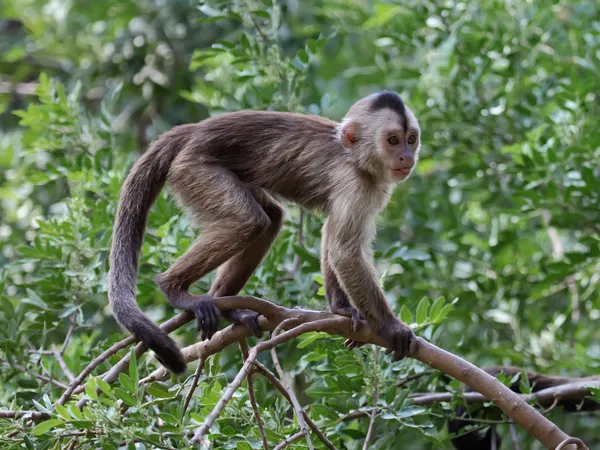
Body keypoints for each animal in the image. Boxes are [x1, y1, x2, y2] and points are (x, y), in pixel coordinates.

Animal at [110, 90, 424, 372]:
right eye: (392, 140)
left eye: (411, 139)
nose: (406, 156)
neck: (356, 158)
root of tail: (193, 130)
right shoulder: (356, 183)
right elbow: (345, 252)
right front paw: (390, 327)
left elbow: (333, 237)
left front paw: (342, 309)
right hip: (193, 169)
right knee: (248, 221)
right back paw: (173, 288)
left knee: (270, 218)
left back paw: (229, 307)